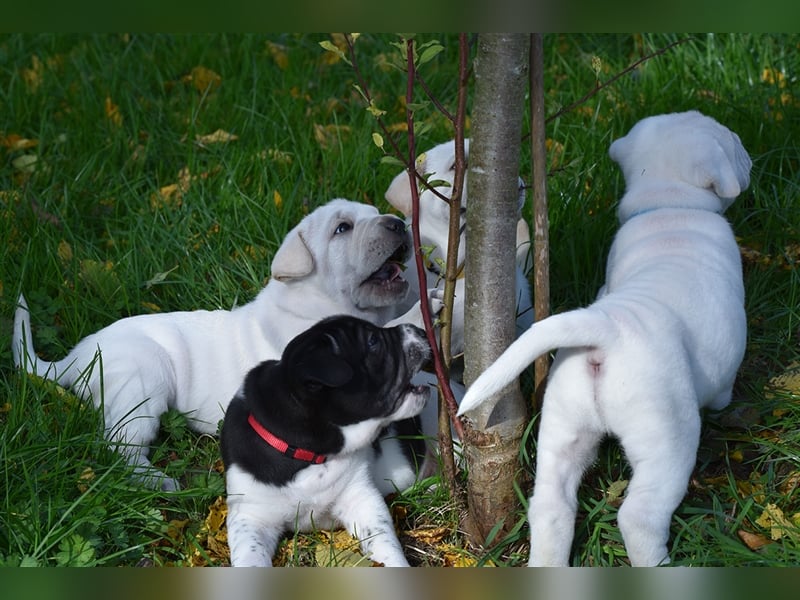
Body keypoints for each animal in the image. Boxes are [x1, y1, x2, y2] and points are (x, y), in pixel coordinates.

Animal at [12, 199, 422, 490]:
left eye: (375, 214)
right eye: (343, 228)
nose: (399, 223)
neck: (313, 298)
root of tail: (75, 357)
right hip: (141, 382)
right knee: (120, 445)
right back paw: (157, 481)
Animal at [219, 314, 432, 568]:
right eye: (372, 341)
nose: (421, 332)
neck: (310, 454)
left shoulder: (360, 497)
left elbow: (383, 540)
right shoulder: (251, 514)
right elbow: (250, 555)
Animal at [456, 112, 752, 568]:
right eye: (732, 142)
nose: (748, 158)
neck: (669, 207)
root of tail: (606, 328)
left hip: (563, 427)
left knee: (551, 507)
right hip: (667, 436)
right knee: (639, 516)